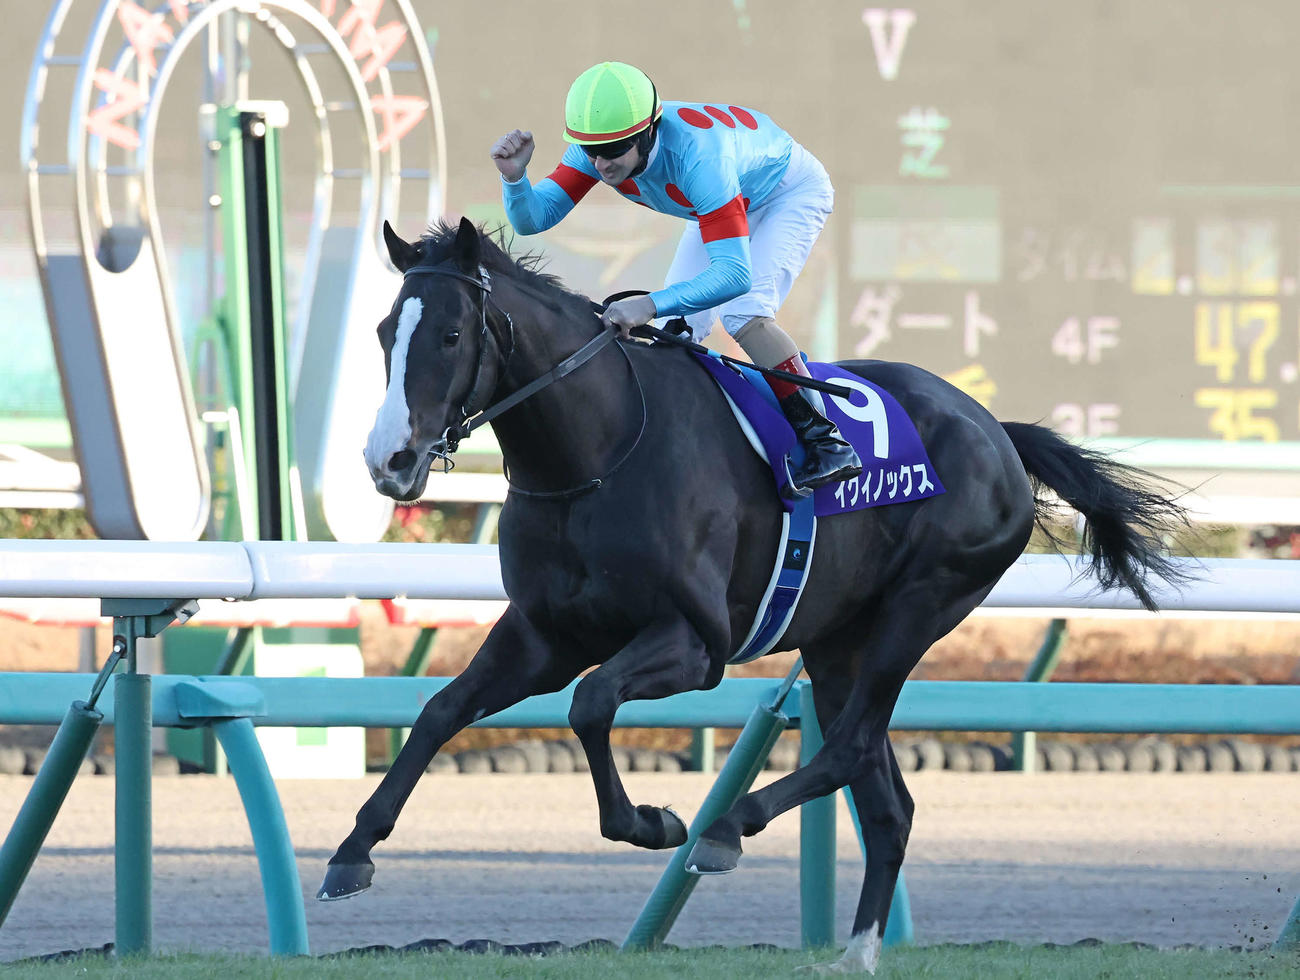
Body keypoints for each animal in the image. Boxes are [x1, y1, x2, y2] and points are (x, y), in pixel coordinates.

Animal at [320, 216, 1187, 974]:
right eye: (383, 333)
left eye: (451, 336)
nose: (389, 460)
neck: (598, 452)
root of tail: (997, 429)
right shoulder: (544, 635)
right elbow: (442, 710)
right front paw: (351, 852)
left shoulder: (694, 643)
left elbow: (591, 704)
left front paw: (655, 822)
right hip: (839, 641)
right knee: (886, 797)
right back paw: (854, 953)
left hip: (921, 605)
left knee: (850, 746)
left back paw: (728, 828)